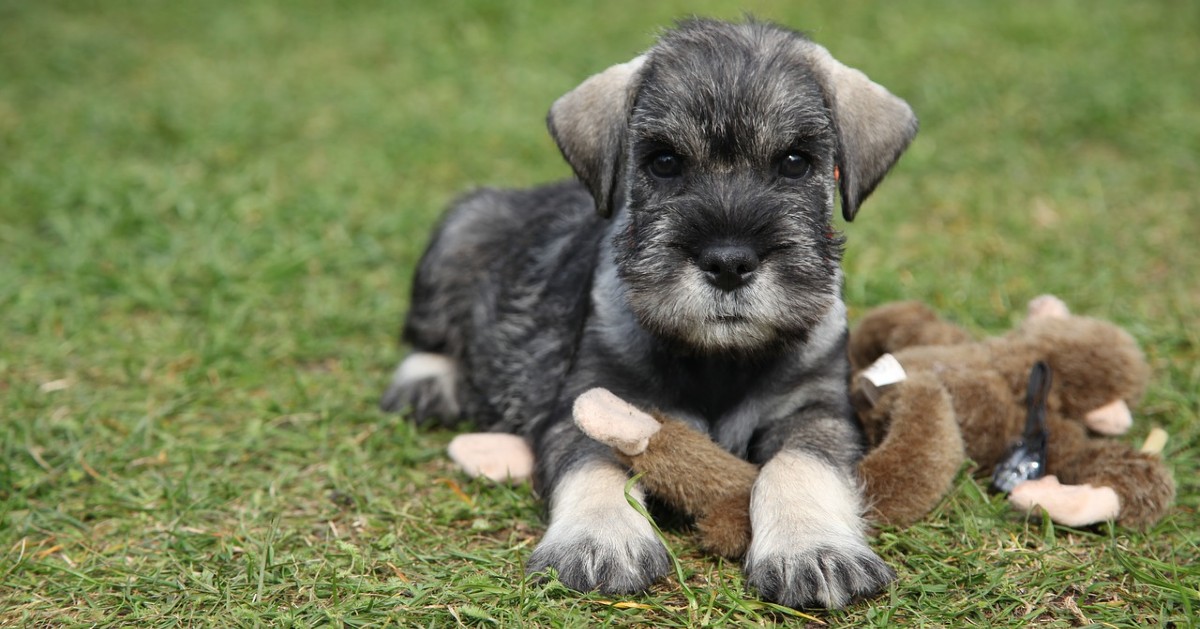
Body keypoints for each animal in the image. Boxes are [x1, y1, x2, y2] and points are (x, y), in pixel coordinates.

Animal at [384, 18, 916, 609]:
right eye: (664, 162)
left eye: (796, 161)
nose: (728, 263)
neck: (718, 362)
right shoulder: (593, 401)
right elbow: (597, 465)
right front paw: (599, 540)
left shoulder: (818, 410)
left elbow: (800, 464)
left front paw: (814, 550)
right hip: (460, 233)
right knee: (428, 336)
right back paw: (428, 383)